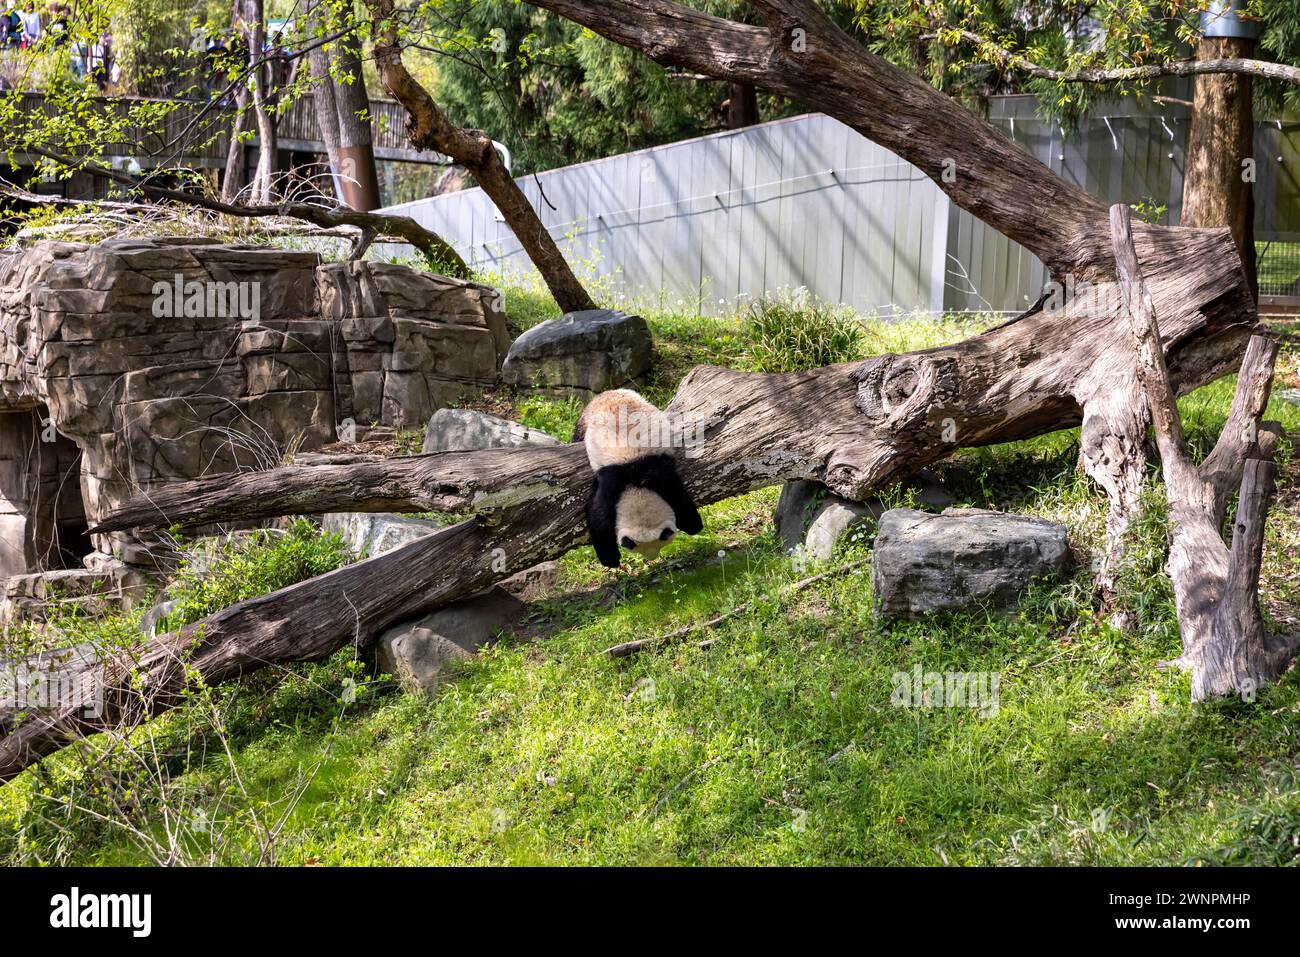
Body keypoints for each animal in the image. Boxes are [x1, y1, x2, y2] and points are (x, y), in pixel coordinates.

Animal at [574, 390, 707, 566]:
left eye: (661, 544)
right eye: (636, 549)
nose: (652, 558)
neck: (636, 487)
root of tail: (608, 393)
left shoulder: (657, 472)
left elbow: (678, 497)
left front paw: (693, 524)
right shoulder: (612, 480)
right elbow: (599, 516)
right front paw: (610, 559)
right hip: (585, 421)